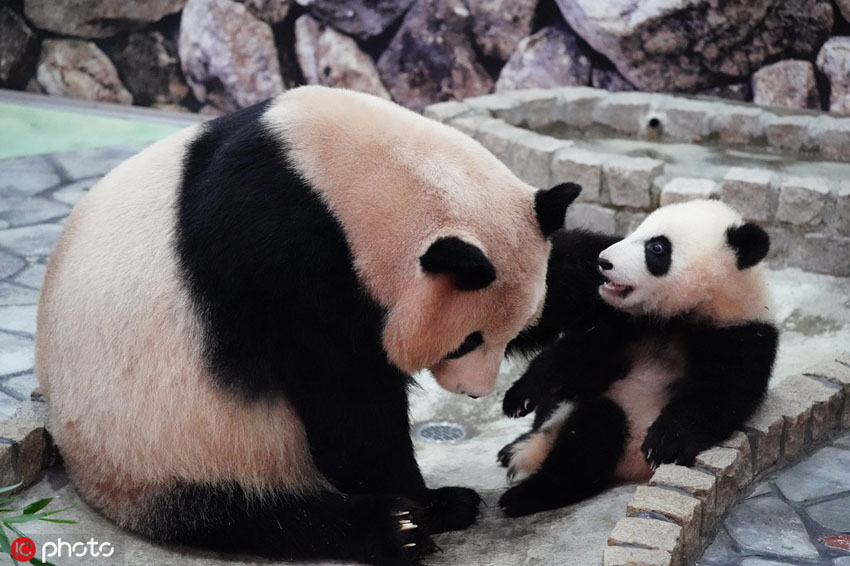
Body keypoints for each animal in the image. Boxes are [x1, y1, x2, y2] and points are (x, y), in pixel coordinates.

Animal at [33, 86, 576, 564]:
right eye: (467, 342)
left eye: (514, 333)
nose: (475, 392)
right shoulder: (281, 257)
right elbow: (346, 401)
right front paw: (422, 502)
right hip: (163, 446)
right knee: (251, 515)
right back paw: (401, 525)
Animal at [496, 201, 776, 520]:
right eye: (636, 230)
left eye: (657, 247)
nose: (603, 261)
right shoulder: (626, 323)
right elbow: (580, 358)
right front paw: (519, 396)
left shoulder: (741, 336)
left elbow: (718, 398)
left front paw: (664, 443)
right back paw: (515, 450)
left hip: (625, 446)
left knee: (592, 437)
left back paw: (525, 494)